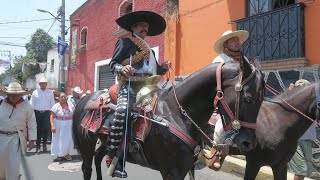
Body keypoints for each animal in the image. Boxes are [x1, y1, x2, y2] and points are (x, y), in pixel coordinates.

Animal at [72, 56, 264, 180]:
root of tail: (84, 100)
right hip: (86, 146)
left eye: (262, 99)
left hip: (105, 143)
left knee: (98, 158)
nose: (249, 143)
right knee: (87, 167)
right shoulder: (171, 172)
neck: (176, 114)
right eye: (248, 98)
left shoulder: (187, 168)